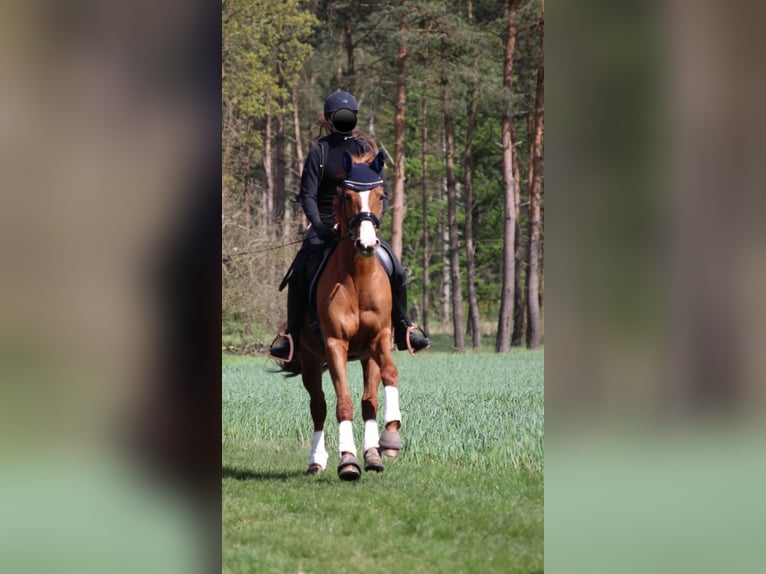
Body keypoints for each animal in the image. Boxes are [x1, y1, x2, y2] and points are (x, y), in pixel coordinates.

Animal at [280, 150, 402, 482]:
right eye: (346, 196)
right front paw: (347, 460)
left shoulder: (380, 338)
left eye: (381, 194)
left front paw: (390, 438)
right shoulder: (336, 344)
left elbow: (389, 376)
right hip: (310, 360)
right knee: (319, 407)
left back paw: (373, 454)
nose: (367, 244)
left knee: (369, 402)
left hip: (366, 356)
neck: (358, 277)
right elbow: (343, 404)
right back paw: (316, 461)